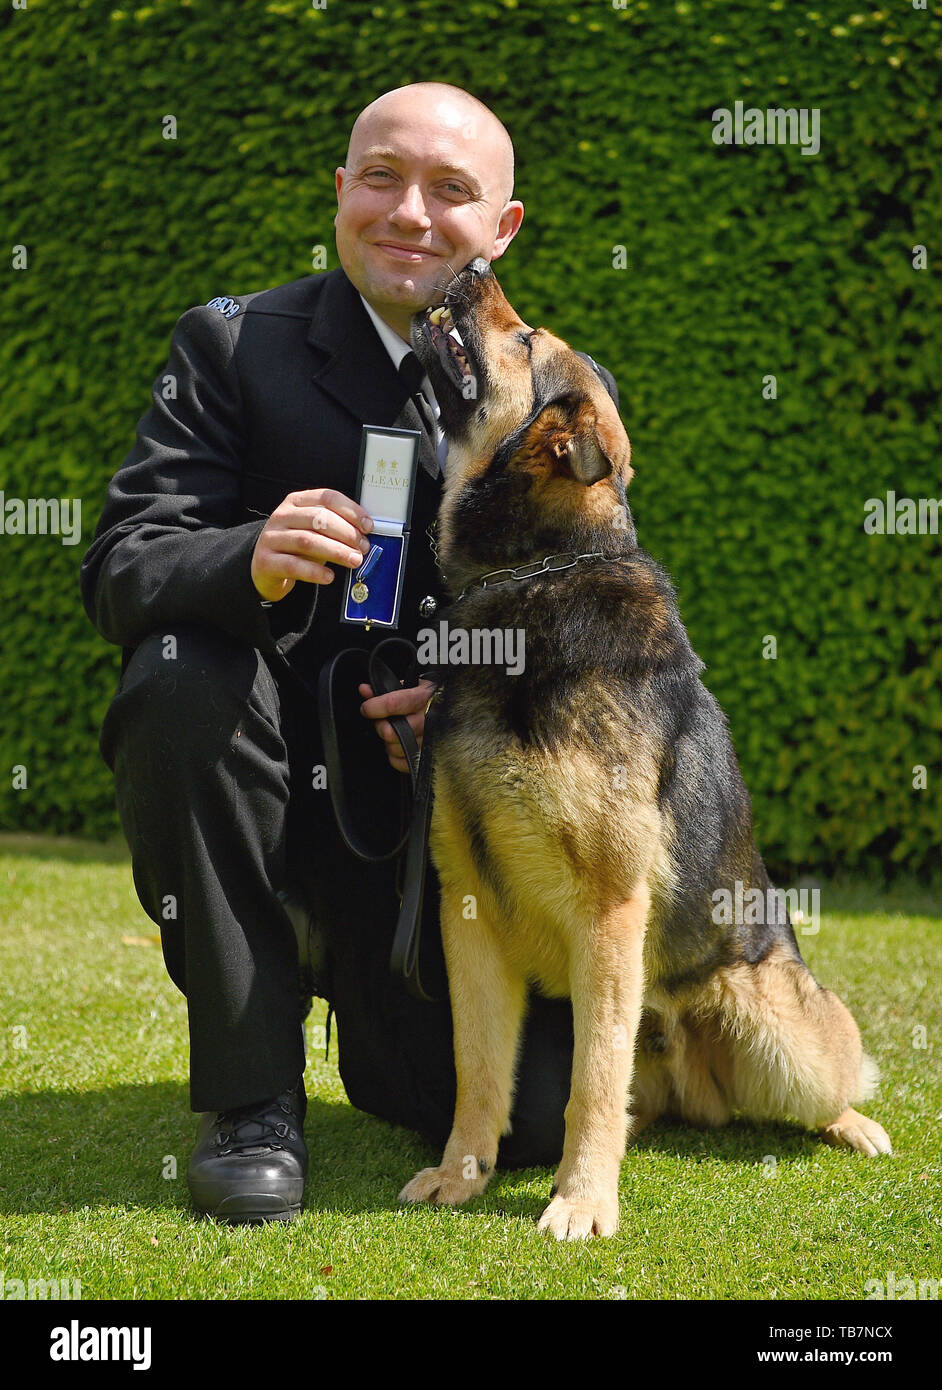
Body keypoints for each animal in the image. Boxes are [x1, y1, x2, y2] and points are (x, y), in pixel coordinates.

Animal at [400, 258, 894, 1239]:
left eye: (525, 342)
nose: (471, 266)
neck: (531, 584)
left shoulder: (609, 910)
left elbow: (590, 1082)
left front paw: (582, 1201)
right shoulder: (466, 909)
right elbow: (480, 1067)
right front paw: (463, 1173)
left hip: (779, 1028)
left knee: (832, 1075)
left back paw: (856, 1125)